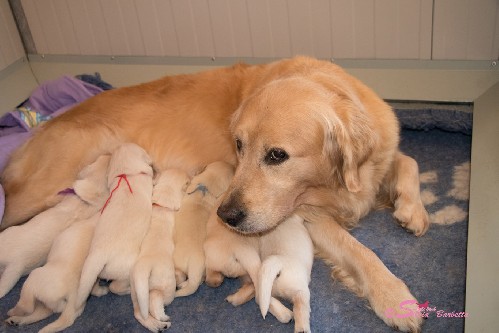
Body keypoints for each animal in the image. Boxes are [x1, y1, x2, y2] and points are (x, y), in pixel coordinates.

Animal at [76, 143, 153, 308]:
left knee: (92, 286)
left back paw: (100, 290)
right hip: (125, 270)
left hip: (95, 272)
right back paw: (126, 289)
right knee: (115, 286)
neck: (126, 175)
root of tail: (99, 256)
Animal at [130, 169, 190, 332]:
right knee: (155, 301)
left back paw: (156, 325)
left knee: (140, 313)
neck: (162, 205)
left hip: (137, 292)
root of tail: (144, 268)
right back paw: (162, 318)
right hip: (166, 287)